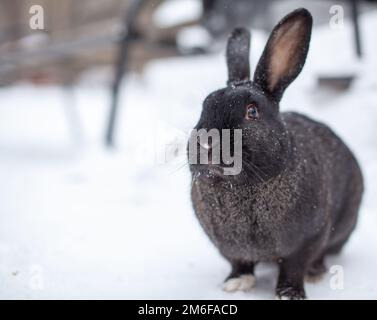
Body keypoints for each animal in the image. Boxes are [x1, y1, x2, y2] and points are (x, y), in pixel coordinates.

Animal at [189, 9, 362, 300]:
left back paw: (316, 272)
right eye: (205, 105)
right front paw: (235, 283)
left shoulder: (308, 239)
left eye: (252, 111)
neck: (242, 186)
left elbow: (294, 266)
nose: (206, 144)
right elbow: (239, 263)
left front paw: (290, 293)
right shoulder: (229, 249)